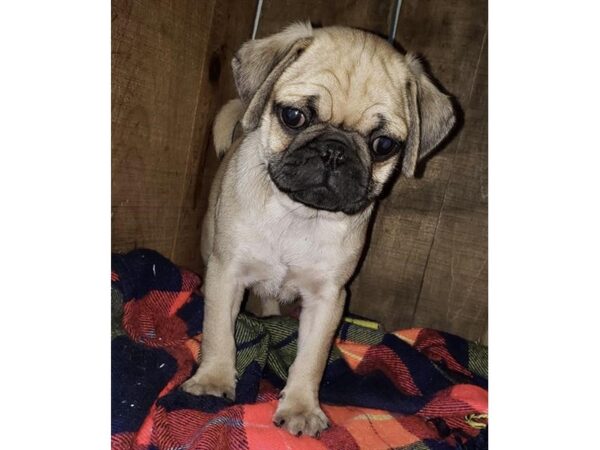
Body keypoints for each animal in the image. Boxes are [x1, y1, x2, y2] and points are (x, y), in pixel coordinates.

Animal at [183, 22, 454, 438]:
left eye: (383, 145)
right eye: (293, 116)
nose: (334, 151)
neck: (298, 214)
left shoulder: (328, 299)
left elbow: (311, 358)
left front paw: (300, 407)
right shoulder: (226, 274)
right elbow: (218, 332)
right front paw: (213, 380)